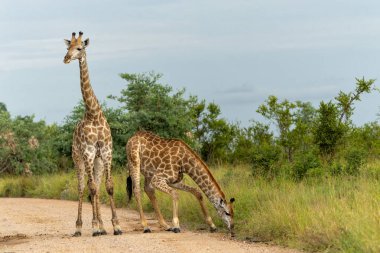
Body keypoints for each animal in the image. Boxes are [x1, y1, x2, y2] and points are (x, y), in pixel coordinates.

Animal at [62, 31, 121, 237]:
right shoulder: (87, 152)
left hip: (98, 161)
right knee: (82, 187)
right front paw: (94, 226)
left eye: (79, 48)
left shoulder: (106, 152)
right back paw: (80, 227)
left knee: (95, 185)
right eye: (68, 47)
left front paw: (115, 226)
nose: (66, 58)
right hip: (78, 158)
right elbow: (91, 188)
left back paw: (102, 227)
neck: (94, 114)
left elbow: (108, 187)